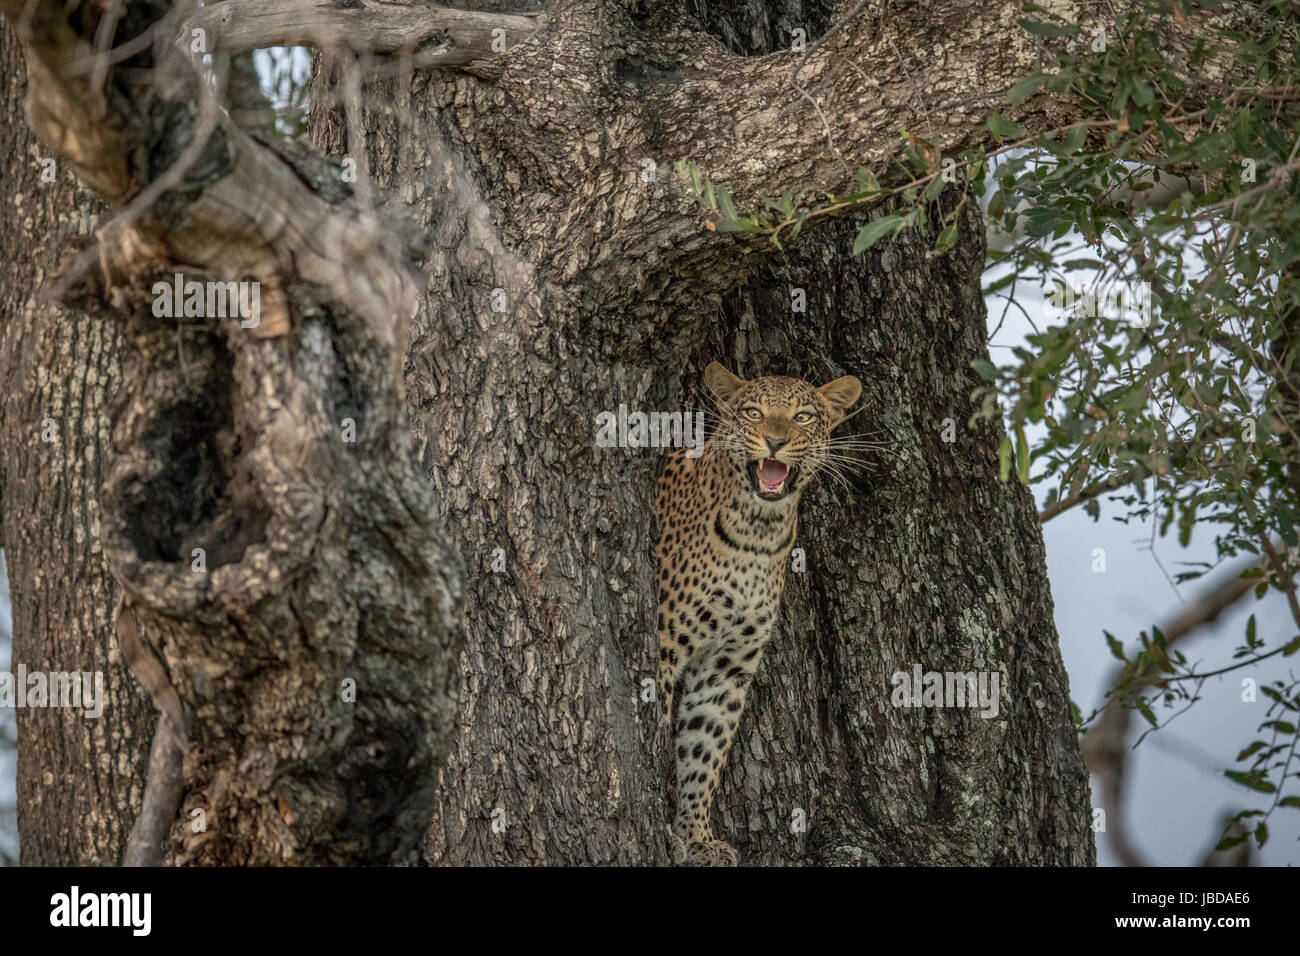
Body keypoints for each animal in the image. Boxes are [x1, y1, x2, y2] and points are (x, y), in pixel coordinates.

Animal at [654, 361, 862, 866]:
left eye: (803, 416)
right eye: (753, 412)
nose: (775, 441)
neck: (757, 533)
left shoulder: (727, 665)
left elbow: (705, 747)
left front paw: (696, 836)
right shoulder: (665, 645)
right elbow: (656, 733)